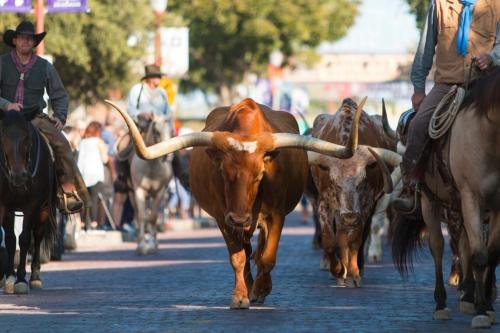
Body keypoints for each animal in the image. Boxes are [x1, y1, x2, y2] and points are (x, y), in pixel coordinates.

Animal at [0, 107, 58, 294]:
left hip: (44, 210)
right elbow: (10, 238)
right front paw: (10, 277)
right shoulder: (4, 206)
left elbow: (24, 238)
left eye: (26, 135)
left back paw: (35, 277)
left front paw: (20, 279)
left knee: (38, 236)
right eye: (3, 135)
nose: (19, 176)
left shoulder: (32, 206)